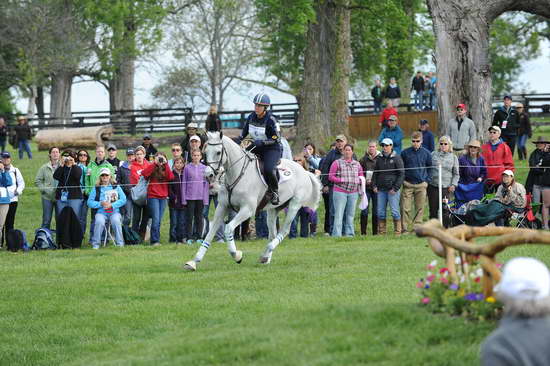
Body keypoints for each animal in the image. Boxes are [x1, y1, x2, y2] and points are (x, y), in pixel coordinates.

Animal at [185, 130, 324, 270]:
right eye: (206, 151)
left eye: (218, 152)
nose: (208, 175)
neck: (237, 174)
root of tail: (305, 171)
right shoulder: (222, 207)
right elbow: (210, 234)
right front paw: (194, 261)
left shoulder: (247, 210)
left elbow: (228, 228)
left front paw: (237, 255)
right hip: (273, 210)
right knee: (272, 234)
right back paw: (266, 258)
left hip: (294, 205)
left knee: (284, 231)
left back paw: (265, 254)